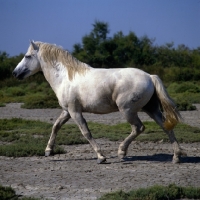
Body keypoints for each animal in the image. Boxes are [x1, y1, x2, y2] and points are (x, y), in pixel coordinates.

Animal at [12, 41, 186, 163]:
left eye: (27, 56)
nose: (15, 73)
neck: (65, 77)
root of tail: (150, 76)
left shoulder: (75, 112)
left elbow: (86, 132)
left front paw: (101, 157)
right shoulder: (67, 111)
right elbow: (56, 127)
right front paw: (48, 150)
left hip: (128, 110)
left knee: (138, 128)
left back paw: (121, 152)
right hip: (151, 109)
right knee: (165, 126)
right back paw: (176, 157)